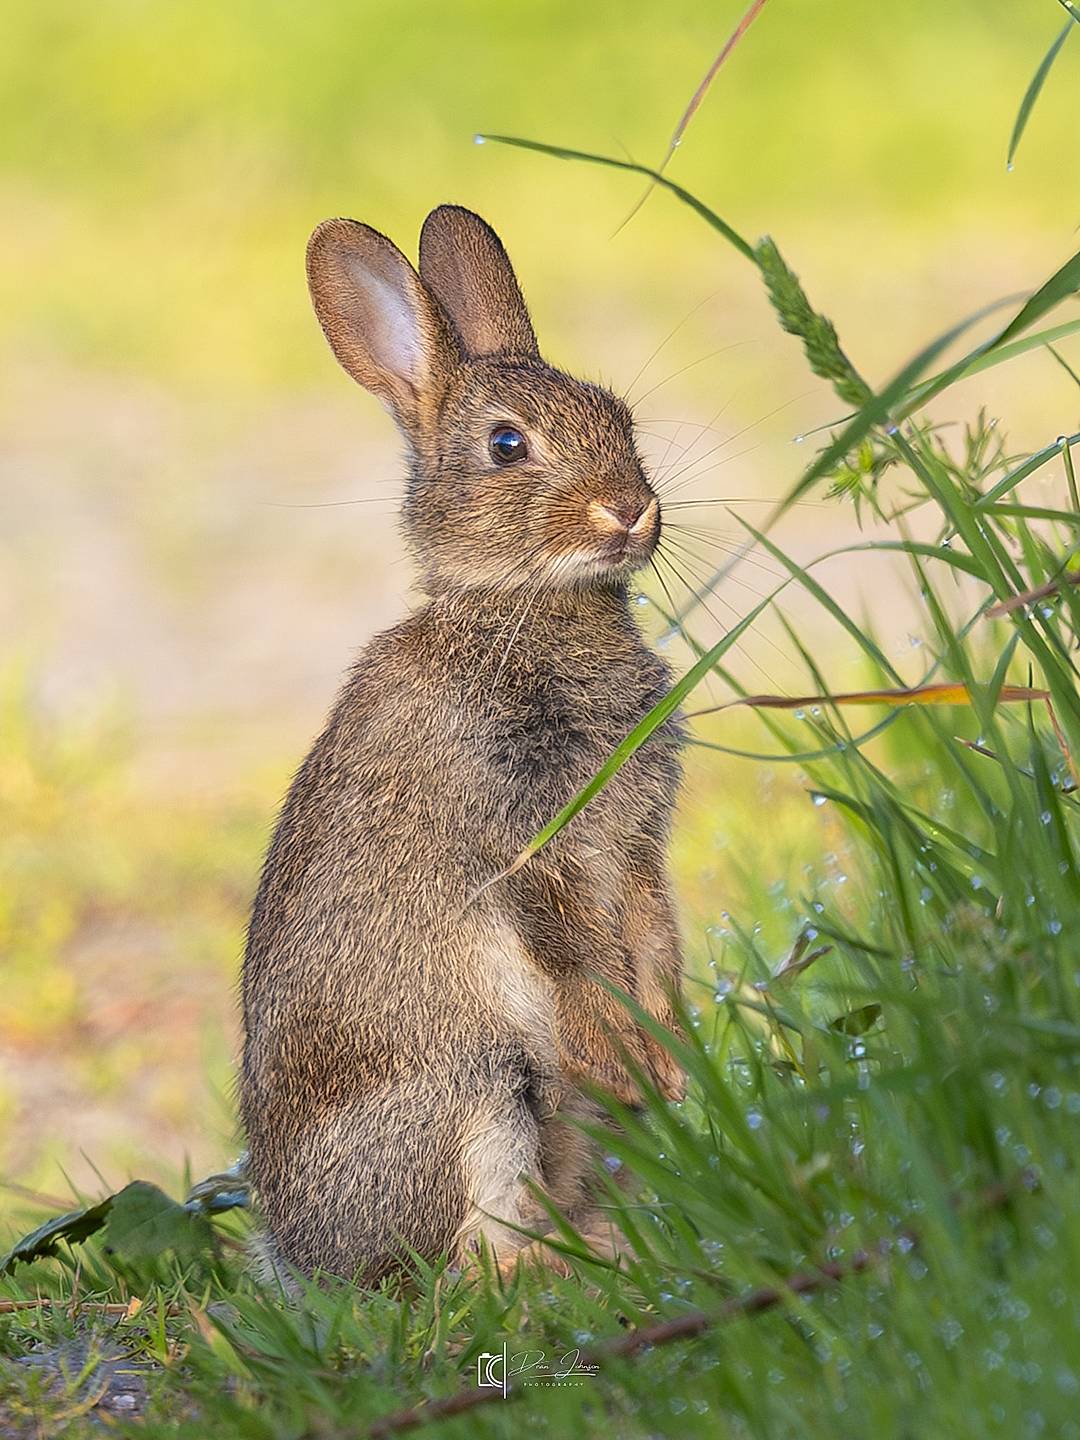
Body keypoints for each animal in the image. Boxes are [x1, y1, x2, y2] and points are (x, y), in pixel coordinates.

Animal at [239, 204, 685, 1286]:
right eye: (507, 444)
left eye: (620, 417)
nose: (631, 509)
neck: (519, 610)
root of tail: (308, 1259)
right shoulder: (521, 855)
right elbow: (581, 964)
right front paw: (643, 1063)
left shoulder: (636, 848)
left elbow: (654, 941)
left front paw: (679, 1063)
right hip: (478, 1090)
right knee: (468, 1269)